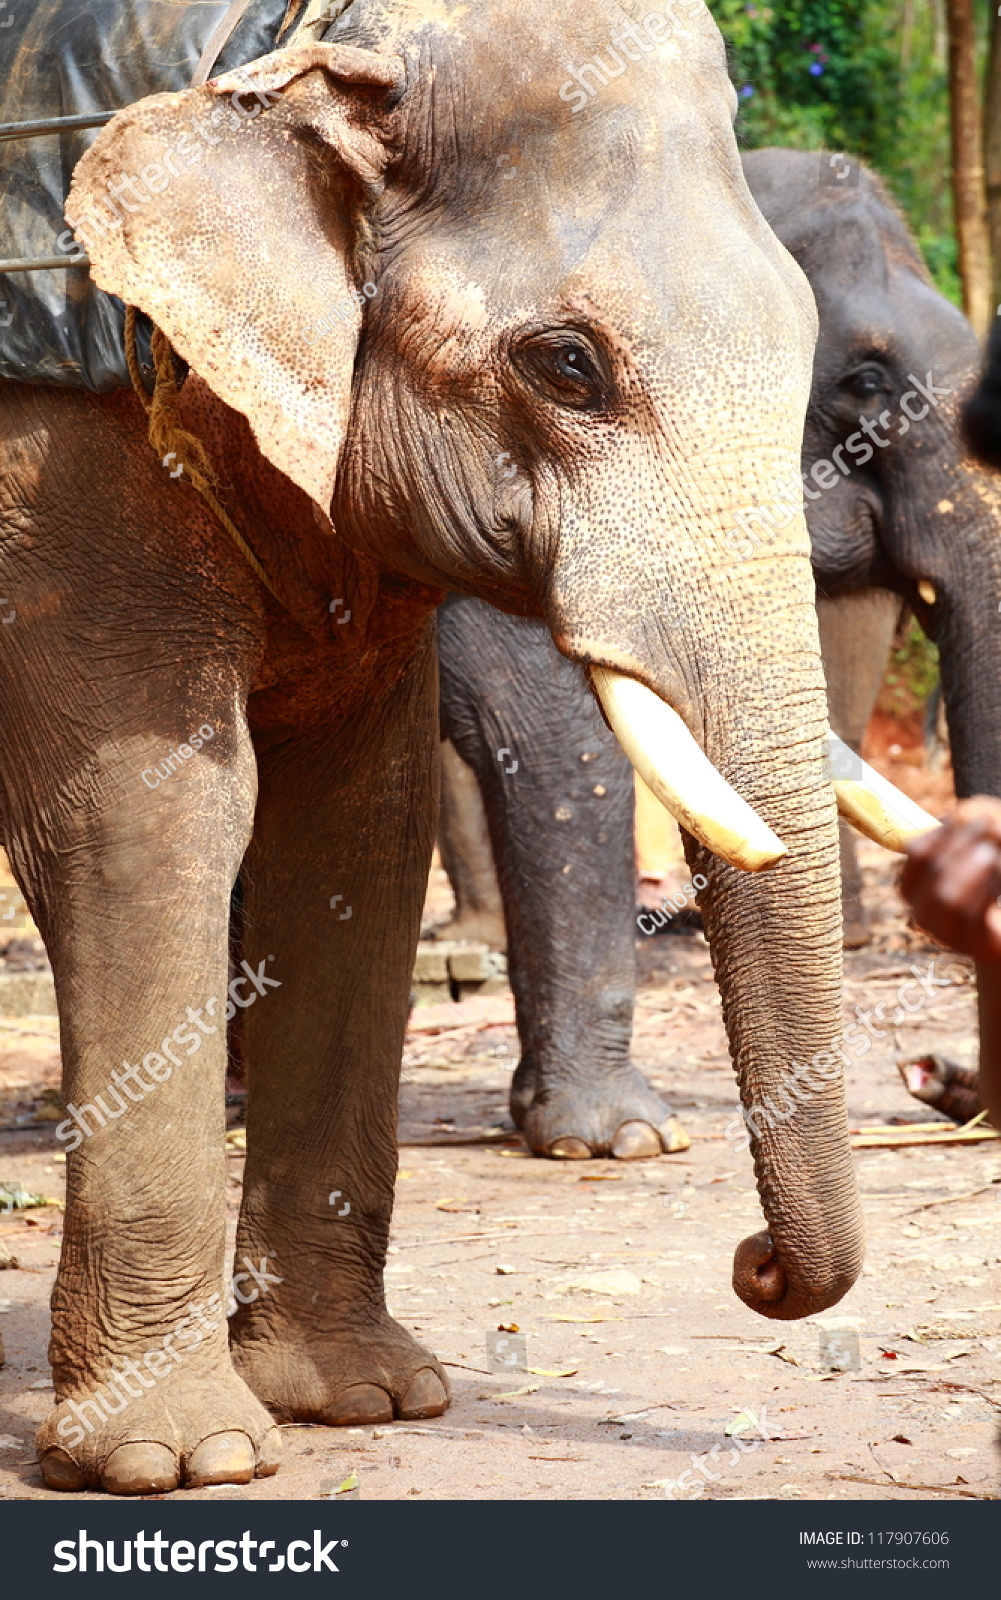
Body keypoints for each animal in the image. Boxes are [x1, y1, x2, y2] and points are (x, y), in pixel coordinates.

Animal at [0, 3, 901, 1497]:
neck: (282, 50)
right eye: (567, 365)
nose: (755, 1267)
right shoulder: (59, 450)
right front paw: (188, 1461)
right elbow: (154, 811)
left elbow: (357, 825)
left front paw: (361, 1401)